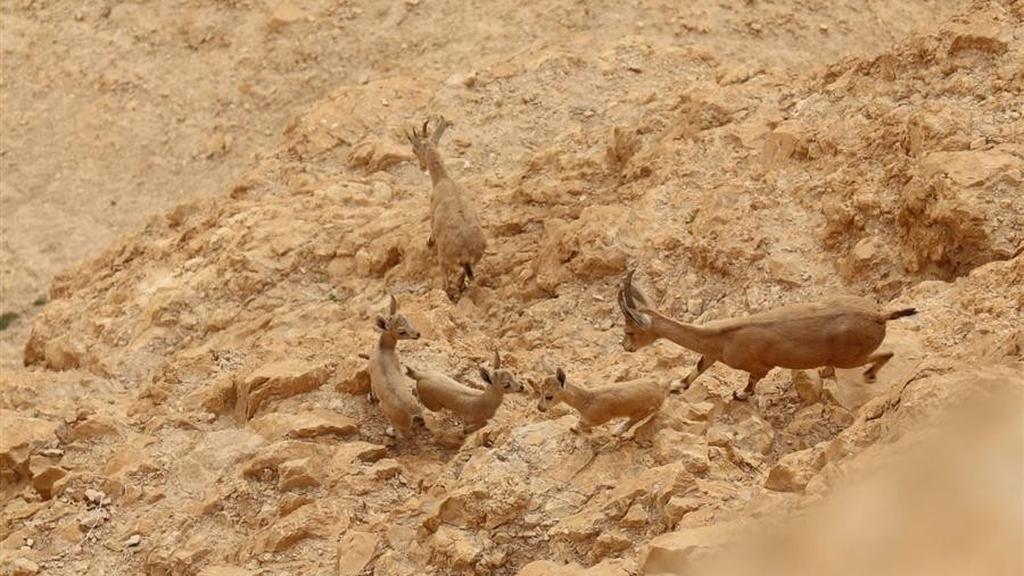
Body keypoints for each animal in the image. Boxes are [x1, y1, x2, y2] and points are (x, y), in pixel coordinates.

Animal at [368, 295, 424, 438]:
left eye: (406, 318)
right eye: (401, 331)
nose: (417, 334)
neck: (384, 350)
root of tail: (412, 412)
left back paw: (389, 431)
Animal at [407, 116, 486, 302]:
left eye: (414, 150)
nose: (422, 167)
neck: (443, 179)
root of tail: (466, 252)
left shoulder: (432, 211)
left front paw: (428, 241)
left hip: (444, 258)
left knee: (446, 282)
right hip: (474, 261)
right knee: (462, 279)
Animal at [533, 366, 675, 437]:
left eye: (549, 396)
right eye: (540, 390)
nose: (540, 408)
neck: (586, 401)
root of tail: (662, 389)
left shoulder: (602, 417)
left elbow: (582, 423)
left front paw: (574, 428)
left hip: (643, 410)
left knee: (635, 419)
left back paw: (617, 431)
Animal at [617, 269, 919, 401]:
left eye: (629, 330)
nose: (625, 347)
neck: (722, 338)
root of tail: (879, 316)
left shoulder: (759, 365)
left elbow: (752, 381)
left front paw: (741, 395)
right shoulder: (713, 352)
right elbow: (700, 366)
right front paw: (677, 385)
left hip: (851, 357)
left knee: (885, 353)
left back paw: (869, 376)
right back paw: (827, 371)